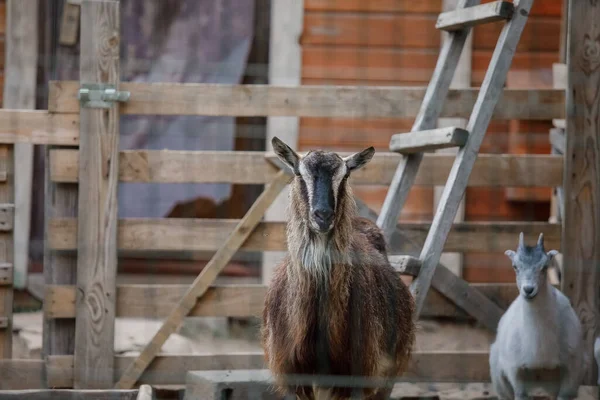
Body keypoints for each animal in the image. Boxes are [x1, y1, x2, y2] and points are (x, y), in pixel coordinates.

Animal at [490, 233, 584, 398]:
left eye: (545, 267)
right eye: (515, 266)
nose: (528, 290)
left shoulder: (572, 370)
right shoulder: (515, 371)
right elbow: (520, 393)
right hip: (499, 378)